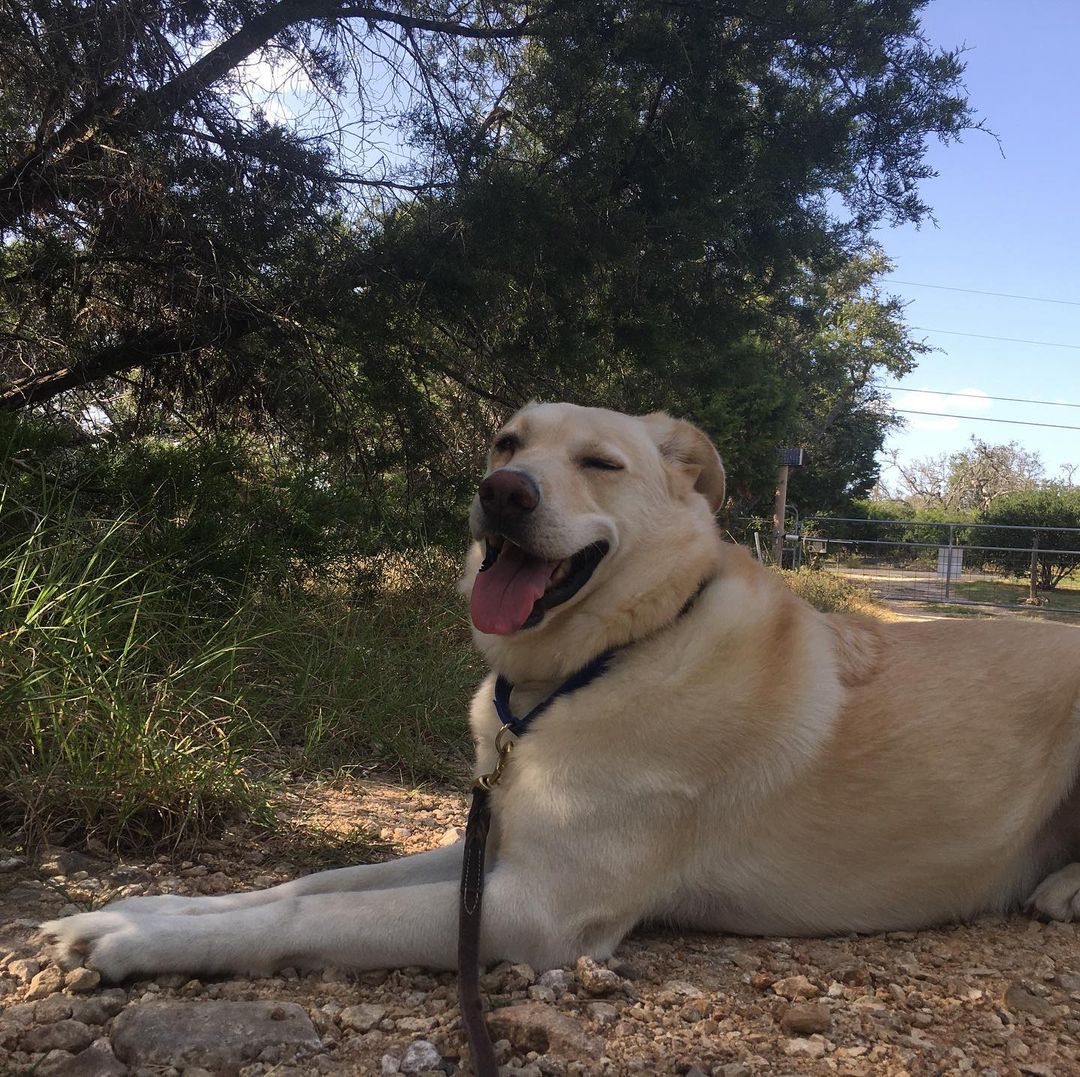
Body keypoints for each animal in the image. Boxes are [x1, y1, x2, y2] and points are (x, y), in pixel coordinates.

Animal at [38, 399, 1080, 980]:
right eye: (508, 441)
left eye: (601, 464)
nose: (503, 492)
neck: (598, 660)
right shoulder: (492, 848)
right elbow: (314, 880)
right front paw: (141, 909)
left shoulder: (534, 907)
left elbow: (313, 914)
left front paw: (135, 945)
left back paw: (1061, 887)